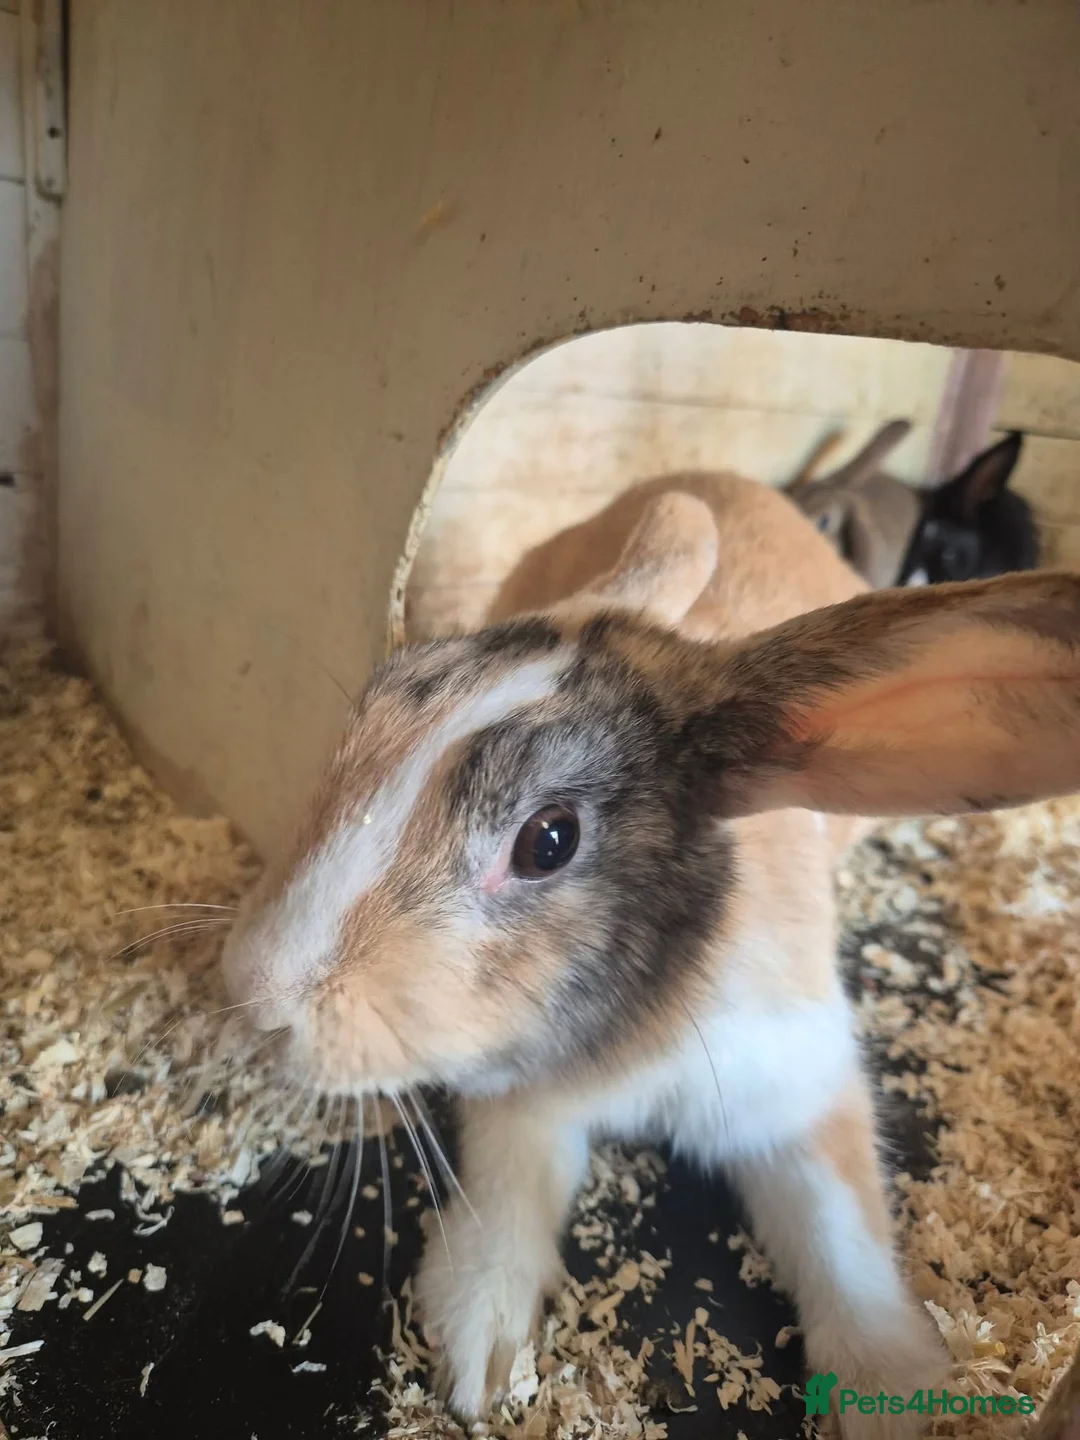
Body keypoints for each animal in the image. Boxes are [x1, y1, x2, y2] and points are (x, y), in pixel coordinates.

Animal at [220, 468, 1080, 1440]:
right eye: (364, 716)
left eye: (549, 841)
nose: (256, 995)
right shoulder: (527, 1102)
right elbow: (509, 1195)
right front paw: (479, 1353)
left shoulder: (802, 1089)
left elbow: (842, 1237)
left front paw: (896, 1398)